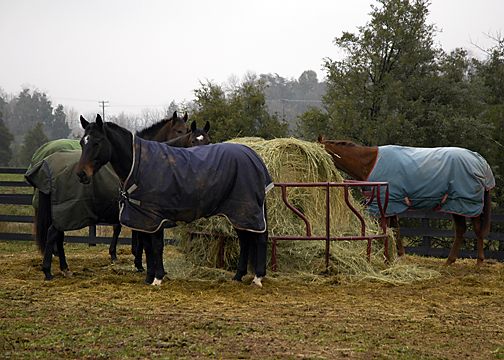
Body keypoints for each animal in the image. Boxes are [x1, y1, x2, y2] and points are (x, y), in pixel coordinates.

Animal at [25, 111, 189, 280]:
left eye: (187, 129)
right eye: (178, 130)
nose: (82, 174)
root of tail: (46, 161)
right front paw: (139, 263)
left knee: (58, 235)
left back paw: (64, 267)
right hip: (67, 211)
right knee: (53, 233)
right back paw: (48, 270)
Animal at [77, 115, 272, 286]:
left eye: (97, 142)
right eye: (81, 142)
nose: (81, 174)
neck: (138, 164)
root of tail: (255, 157)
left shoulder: (155, 217)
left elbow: (156, 247)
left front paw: (158, 278)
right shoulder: (144, 218)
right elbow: (147, 246)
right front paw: (148, 278)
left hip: (247, 211)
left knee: (260, 238)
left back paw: (257, 278)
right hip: (238, 213)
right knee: (245, 240)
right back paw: (238, 276)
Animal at [316, 135, 494, 268]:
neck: (370, 162)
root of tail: (481, 162)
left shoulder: (385, 204)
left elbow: (388, 228)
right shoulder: (392, 204)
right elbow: (396, 229)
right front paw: (399, 255)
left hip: (466, 205)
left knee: (475, 230)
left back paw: (477, 262)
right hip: (458, 206)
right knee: (461, 230)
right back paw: (450, 262)